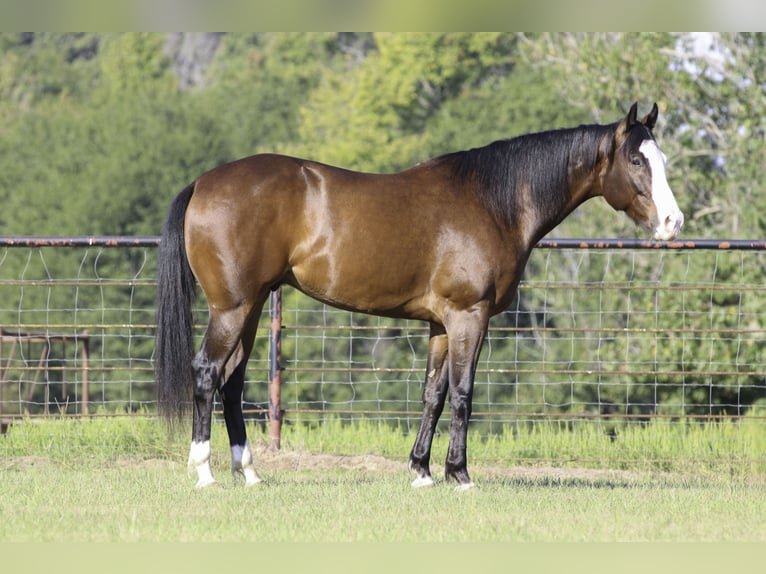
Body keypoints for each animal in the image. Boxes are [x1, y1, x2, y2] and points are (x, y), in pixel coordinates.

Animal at [155, 102, 683, 490]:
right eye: (636, 160)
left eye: (661, 160)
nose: (673, 222)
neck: (493, 202)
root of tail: (203, 182)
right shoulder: (470, 316)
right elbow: (464, 394)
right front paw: (461, 475)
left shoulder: (440, 325)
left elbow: (433, 394)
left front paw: (422, 471)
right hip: (233, 307)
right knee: (207, 372)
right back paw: (203, 472)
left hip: (252, 306)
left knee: (231, 381)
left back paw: (248, 473)